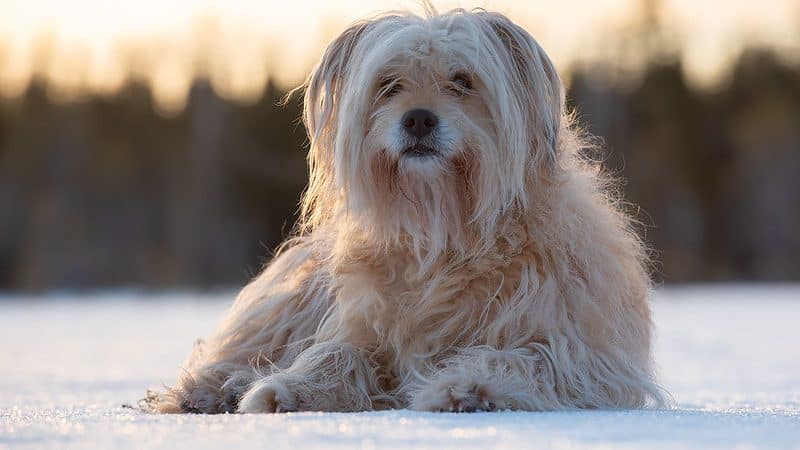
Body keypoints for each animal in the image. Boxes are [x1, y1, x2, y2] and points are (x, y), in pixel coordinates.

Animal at [144, 7, 664, 414]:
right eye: (389, 84)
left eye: (462, 81)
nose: (417, 119)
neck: (444, 230)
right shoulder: (362, 326)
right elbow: (336, 354)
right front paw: (289, 389)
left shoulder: (578, 346)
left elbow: (525, 357)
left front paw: (470, 387)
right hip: (288, 303)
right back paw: (213, 389)